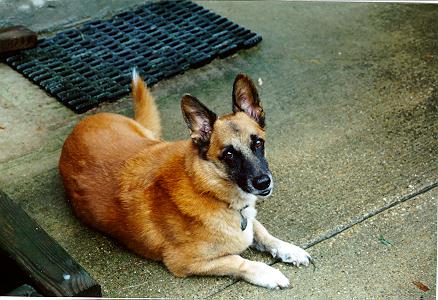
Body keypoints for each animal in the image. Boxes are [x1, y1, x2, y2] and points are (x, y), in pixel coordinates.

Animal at [59, 71, 312, 288]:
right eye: (229, 154)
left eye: (258, 142)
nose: (263, 183)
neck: (206, 187)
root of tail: (78, 129)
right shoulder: (184, 262)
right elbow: (238, 261)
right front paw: (268, 273)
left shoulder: (248, 219)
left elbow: (264, 233)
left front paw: (290, 249)